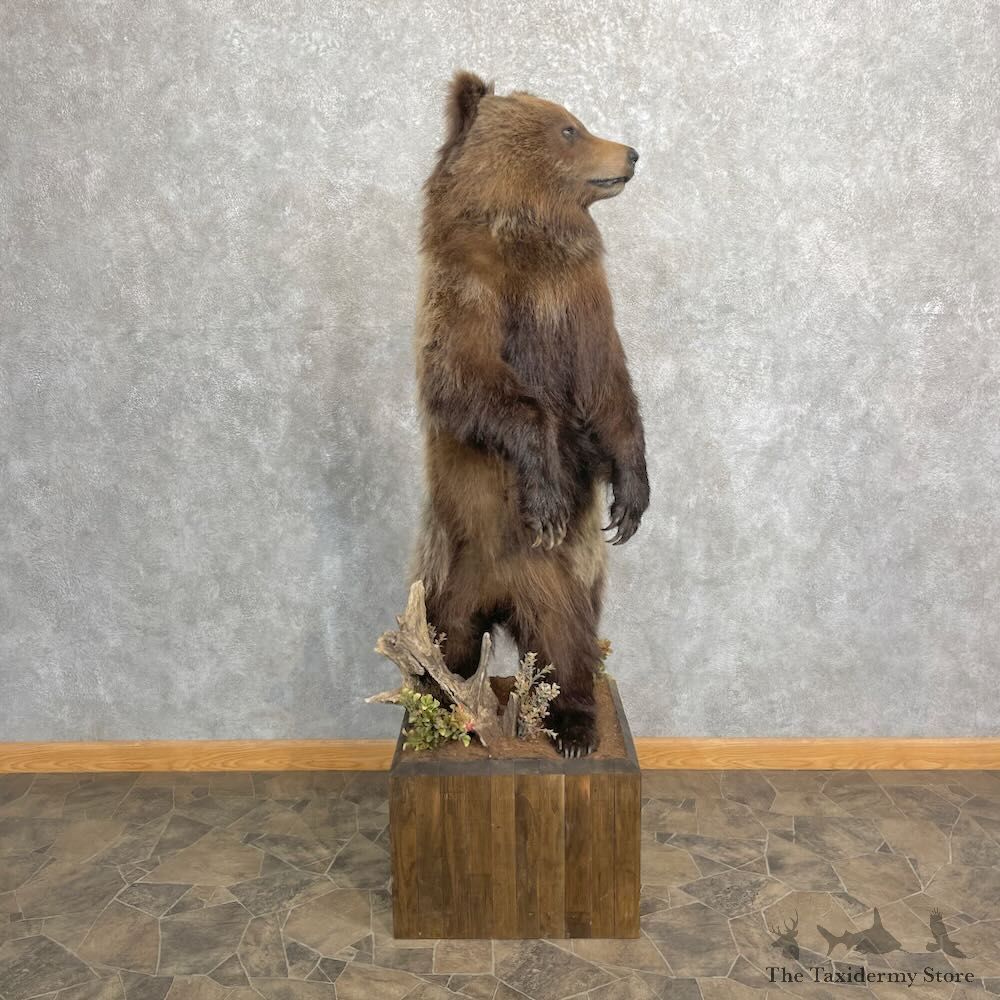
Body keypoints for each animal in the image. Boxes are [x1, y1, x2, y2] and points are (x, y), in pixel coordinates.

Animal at [411, 71, 649, 756]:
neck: (531, 236)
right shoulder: (467, 289)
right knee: (447, 641)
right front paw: (544, 500)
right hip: (445, 573)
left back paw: (574, 725)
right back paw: (438, 708)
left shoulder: (582, 302)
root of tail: (500, 598)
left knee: (566, 643)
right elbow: (467, 380)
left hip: (557, 585)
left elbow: (609, 392)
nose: (631, 152)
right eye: (569, 128)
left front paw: (631, 499)